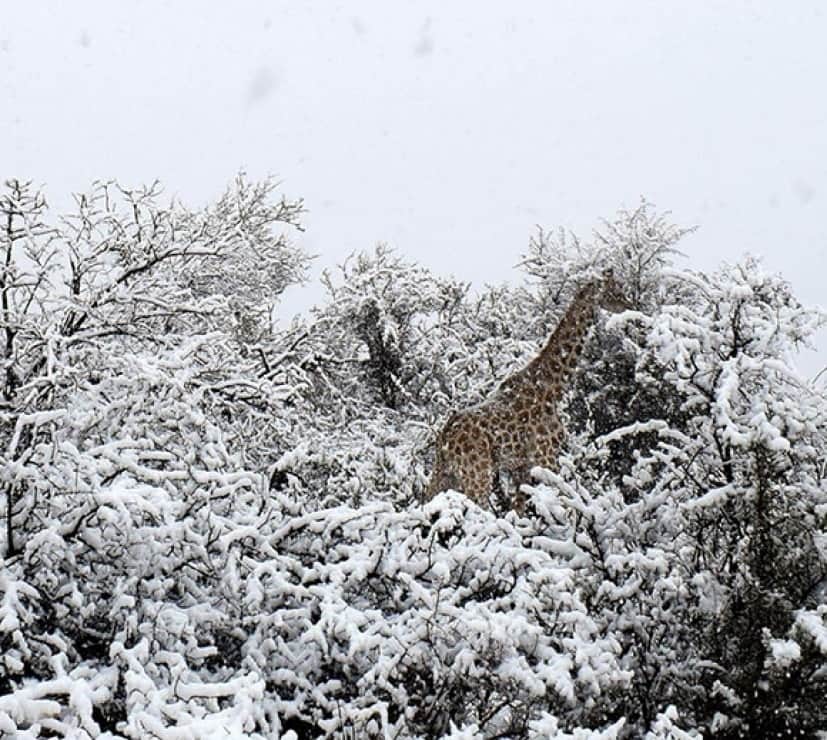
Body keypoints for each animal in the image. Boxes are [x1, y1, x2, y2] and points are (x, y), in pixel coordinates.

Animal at [426, 270, 628, 516]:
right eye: (615, 289)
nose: (629, 304)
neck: (553, 389)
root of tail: (445, 436)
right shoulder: (545, 456)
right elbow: (558, 502)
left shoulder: (520, 466)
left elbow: (519, 510)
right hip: (477, 472)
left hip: (446, 474)